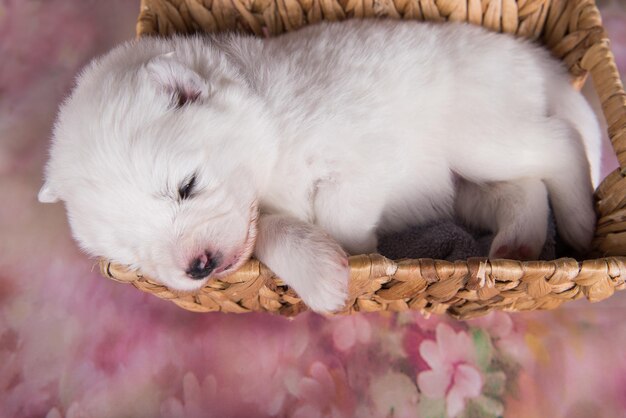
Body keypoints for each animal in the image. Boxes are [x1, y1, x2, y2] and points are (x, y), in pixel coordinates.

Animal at [36, 20, 596, 314]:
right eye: (132, 253)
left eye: (187, 186)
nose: (198, 267)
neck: (268, 116)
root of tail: (524, 52)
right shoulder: (259, 216)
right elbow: (274, 231)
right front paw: (323, 272)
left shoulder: (363, 150)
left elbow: (336, 211)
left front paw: (360, 257)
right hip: (469, 185)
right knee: (526, 188)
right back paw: (518, 246)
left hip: (478, 134)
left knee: (561, 144)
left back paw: (579, 223)